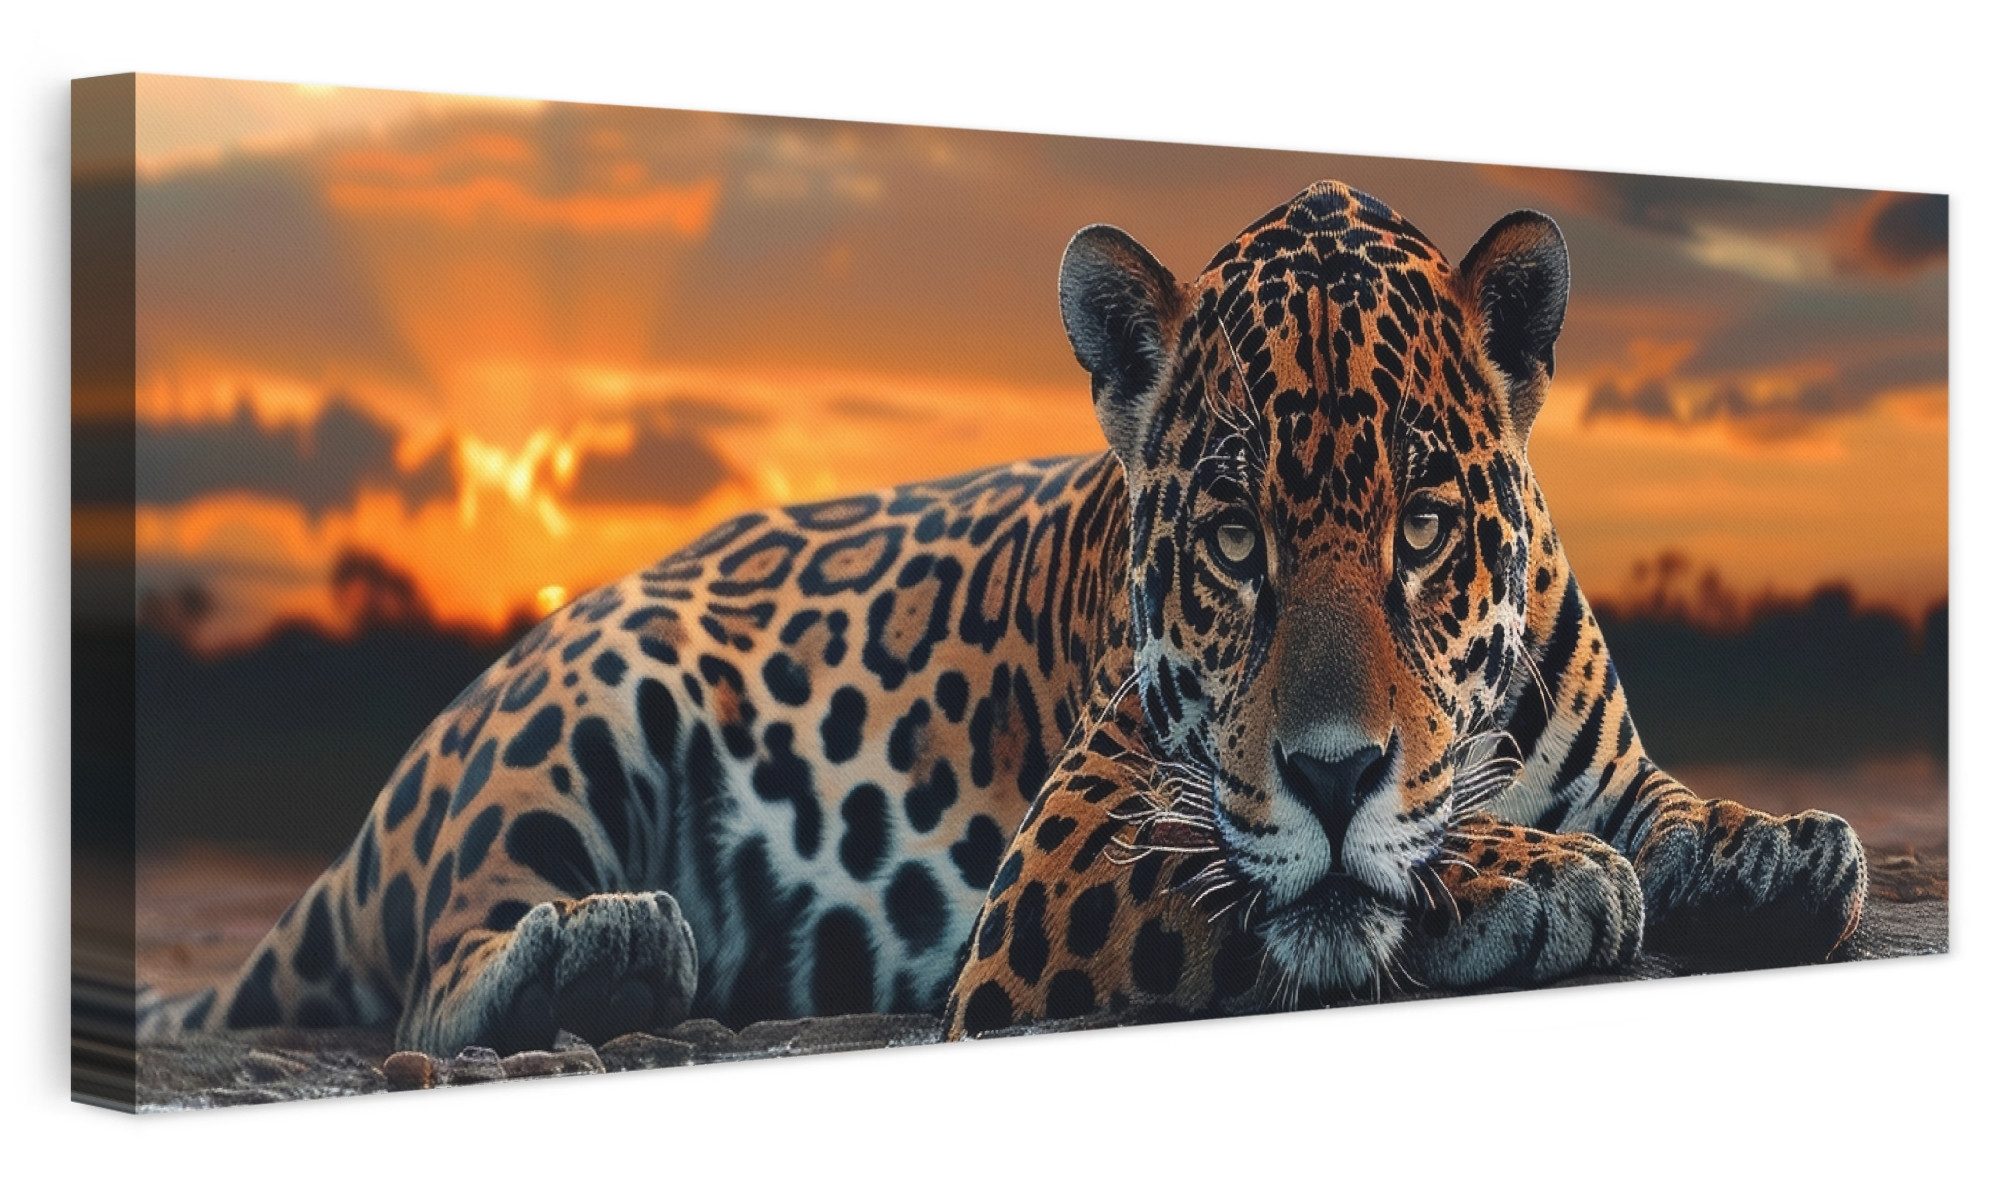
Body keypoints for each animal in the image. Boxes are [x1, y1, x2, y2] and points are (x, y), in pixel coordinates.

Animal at [141, 181, 1867, 1056]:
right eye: (1233, 540)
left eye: (1424, 530)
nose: (1331, 773)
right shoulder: (1075, 856)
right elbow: (1299, 883)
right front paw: (1533, 876)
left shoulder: (1603, 761)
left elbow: (1669, 809)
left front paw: (1777, 848)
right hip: (578, 714)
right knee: (440, 974)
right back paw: (602, 956)